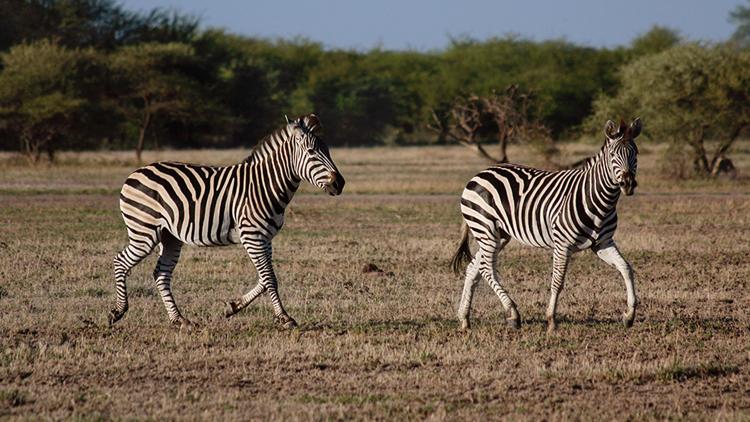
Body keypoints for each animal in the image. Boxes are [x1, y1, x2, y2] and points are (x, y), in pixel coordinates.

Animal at [107, 114, 346, 330]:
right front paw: (285, 318)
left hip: (170, 236)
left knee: (161, 274)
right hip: (145, 232)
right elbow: (270, 278)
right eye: (312, 152)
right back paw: (118, 311)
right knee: (120, 261)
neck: (265, 186)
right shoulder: (252, 236)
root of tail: (135, 172)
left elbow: (264, 278)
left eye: (328, 151)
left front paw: (233, 306)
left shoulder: (265, 238)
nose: (340, 183)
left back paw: (179, 320)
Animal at [450, 117, 644, 332]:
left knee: (473, 269)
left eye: (635, 153)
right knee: (486, 269)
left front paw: (629, 315)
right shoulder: (562, 244)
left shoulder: (603, 243)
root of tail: (479, 174)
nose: (628, 183)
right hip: (486, 229)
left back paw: (464, 319)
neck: (599, 200)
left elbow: (626, 268)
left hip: (498, 235)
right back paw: (513, 314)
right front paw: (551, 320)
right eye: (612, 155)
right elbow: (557, 282)